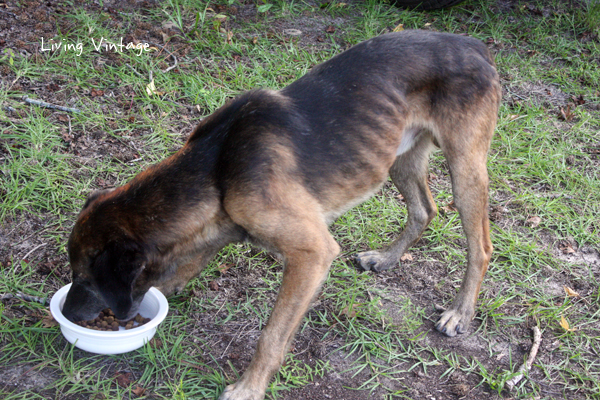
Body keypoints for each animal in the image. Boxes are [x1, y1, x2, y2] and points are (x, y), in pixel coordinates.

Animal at [62, 29, 502, 398]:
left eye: (84, 278)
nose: (63, 314)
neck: (215, 169)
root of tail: (473, 45)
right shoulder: (207, 238)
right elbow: (174, 277)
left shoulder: (312, 254)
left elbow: (272, 336)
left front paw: (248, 389)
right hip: (399, 156)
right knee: (424, 210)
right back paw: (387, 258)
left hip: (465, 169)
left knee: (480, 245)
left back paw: (460, 313)